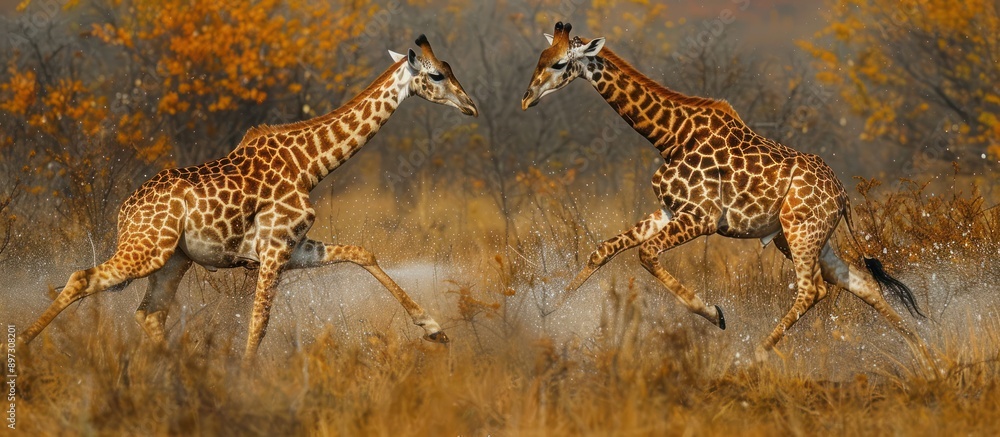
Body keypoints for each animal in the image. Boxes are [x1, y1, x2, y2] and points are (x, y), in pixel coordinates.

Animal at [21, 35, 478, 362]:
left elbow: (362, 252)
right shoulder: (274, 250)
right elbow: (259, 321)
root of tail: (124, 211)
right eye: (438, 75)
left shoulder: (288, 248)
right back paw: (21, 347)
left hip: (173, 261)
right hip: (147, 249)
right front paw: (245, 377)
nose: (471, 105)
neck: (309, 164)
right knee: (82, 279)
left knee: (148, 313)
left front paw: (434, 327)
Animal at [521, 22, 930, 362]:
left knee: (812, 290)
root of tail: (843, 194)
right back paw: (923, 353)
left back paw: (759, 352)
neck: (669, 137)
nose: (527, 99)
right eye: (539, 59)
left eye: (559, 64)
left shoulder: (701, 217)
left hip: (801, 232)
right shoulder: (670, 210)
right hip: (802, 236)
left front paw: (715, 314)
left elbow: (646, 255)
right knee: (861, 282)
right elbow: (603, 250)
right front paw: (549, 313)